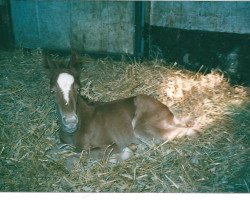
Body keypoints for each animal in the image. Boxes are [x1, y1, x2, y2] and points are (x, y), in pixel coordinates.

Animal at [43, 54, 199, 162]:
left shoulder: (110, 145)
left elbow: (75, 156)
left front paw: (124, 154)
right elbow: (51, 151)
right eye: (52, 90)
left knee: (187, 132)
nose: (70, 121)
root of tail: (169, 113)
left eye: (78, 89)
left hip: (143, 128)